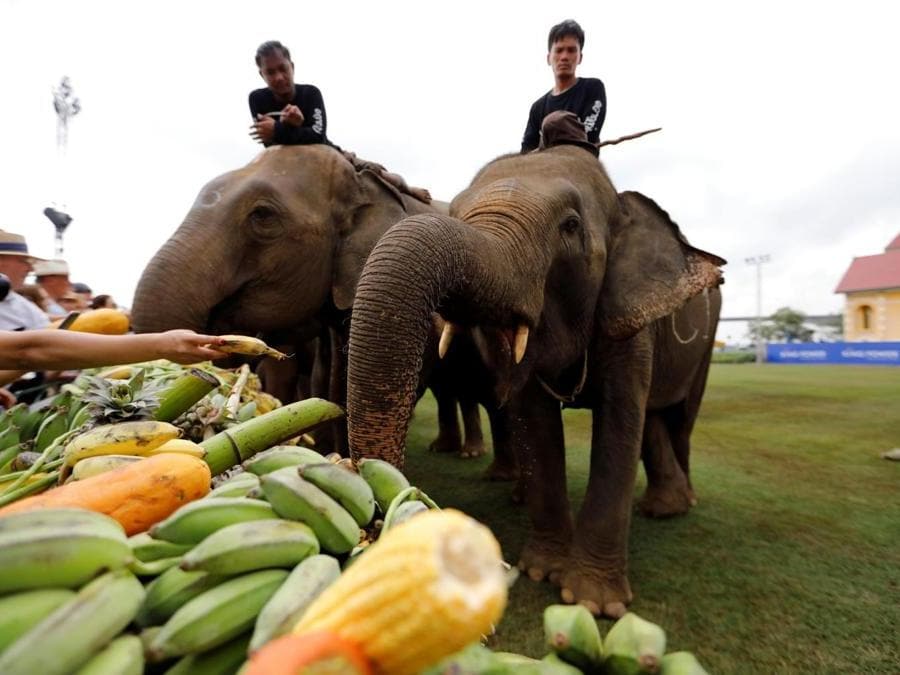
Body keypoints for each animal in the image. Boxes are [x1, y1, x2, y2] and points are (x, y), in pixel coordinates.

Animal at [345, 144, 725, 617]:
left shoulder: (630, 322)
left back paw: (678, 506)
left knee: (679, 418)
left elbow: (619, 424)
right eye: (455, 212)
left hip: (706, 342)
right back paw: (660, 507)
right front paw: (543, 572)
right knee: (654, 419)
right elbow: (534, 419)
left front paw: (593, 603)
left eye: (571, 226)